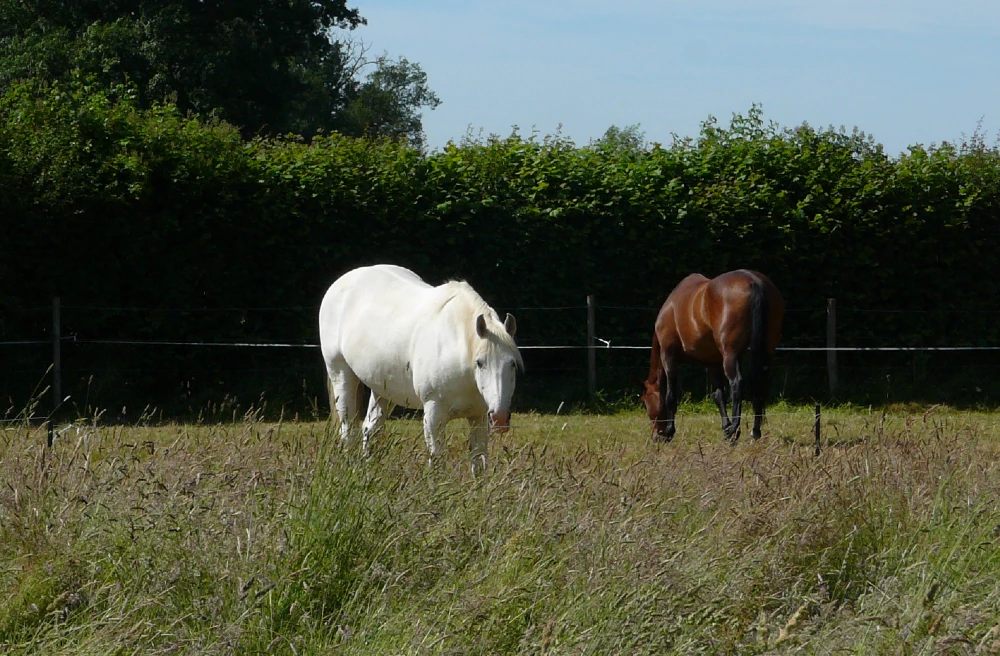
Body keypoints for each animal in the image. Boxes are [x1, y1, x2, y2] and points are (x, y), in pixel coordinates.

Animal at [318, 264, 523, 475]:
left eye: (512, 364)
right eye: (480, 362)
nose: (499, 418)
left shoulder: (478, 417)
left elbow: (479, 463)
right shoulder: (433, 417)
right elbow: (437, 461)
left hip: (383, 391)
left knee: (369, 429)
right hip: (341, 376)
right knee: (349, 430)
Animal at [640, 270, 784, 443]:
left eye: (646, 404)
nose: (656, 437)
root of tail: (754, 280)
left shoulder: (669, 358)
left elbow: (670, 396)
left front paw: (669, 431)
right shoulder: (712, 363)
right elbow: (718, 396)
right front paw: (725, 428)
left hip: (730, 355)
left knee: (737, 384)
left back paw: (735, 430)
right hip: (765, 353)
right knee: (759, 387)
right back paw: (754, 433)